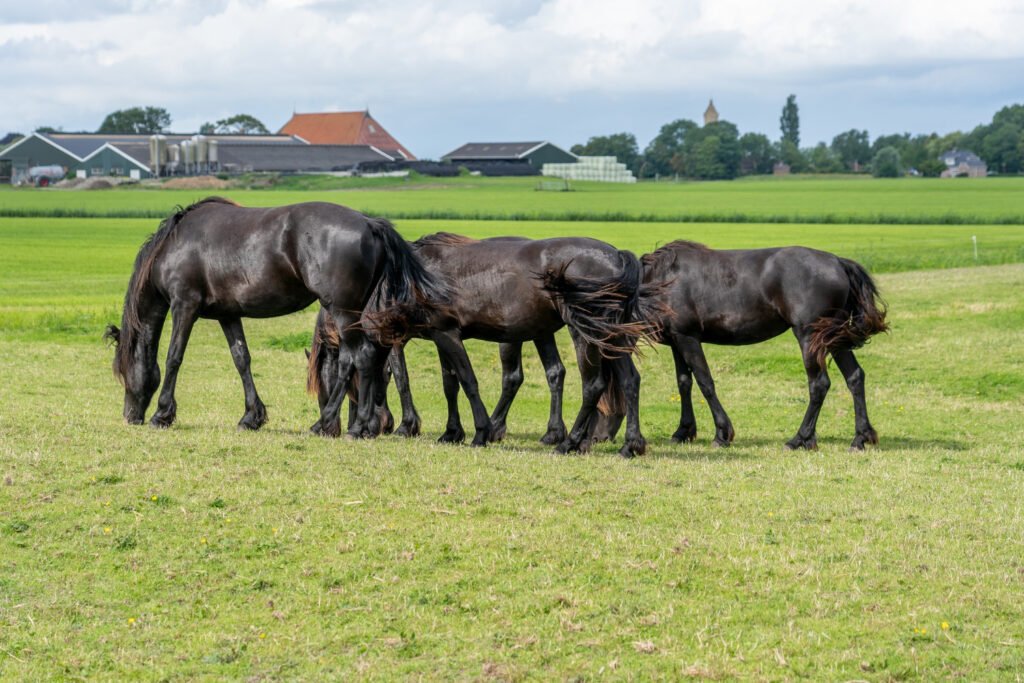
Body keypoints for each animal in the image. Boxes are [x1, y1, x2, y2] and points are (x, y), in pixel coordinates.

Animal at [103, 197, 447, 437]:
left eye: (122, 373)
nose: (129, 416)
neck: (174, 245)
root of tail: (370, 223)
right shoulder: (228, 314)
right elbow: (241, 359)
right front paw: (251, 417)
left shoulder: (183, 306)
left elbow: (174, 357)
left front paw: (162, 414)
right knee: (362, 360)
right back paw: (331, 423)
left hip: (342, 311)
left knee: (360, 358)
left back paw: (355, 426)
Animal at [310, 232, 663, 457]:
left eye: (331, 379)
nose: (327, 425)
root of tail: (617, 256)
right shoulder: (439, 338)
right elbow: (449, 384)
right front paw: (452, 432)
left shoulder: (446, 334)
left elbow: (467, 381)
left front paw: (479, 433)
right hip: (611, 336)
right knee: (629, 380)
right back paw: (630, 445)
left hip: (586, 334)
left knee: (593, 385)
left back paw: (570, 443)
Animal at [596, 241, 888, 451]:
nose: (599, 437)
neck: (661, 282)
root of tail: (838, 262)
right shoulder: (677, 341)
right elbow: (684, 383)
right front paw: (683, 431)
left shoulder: (688, 338)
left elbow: (705, 382)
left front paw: (722, 433)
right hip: (833, 338)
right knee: (854, 378)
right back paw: (860, 438)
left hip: (809, 337)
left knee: (819, 384)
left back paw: (800, 439)